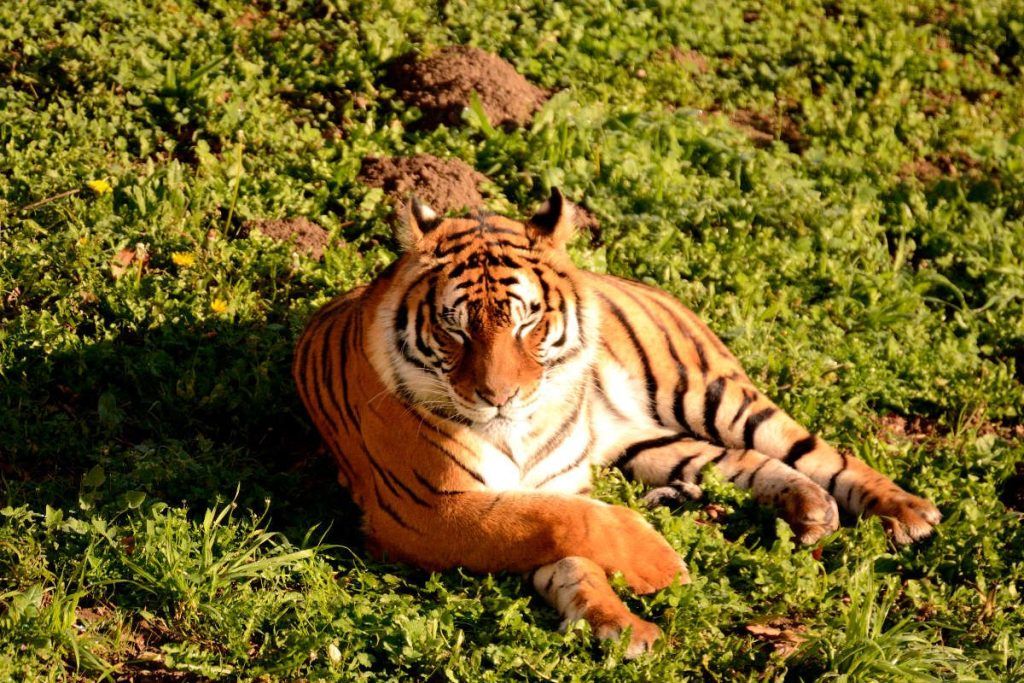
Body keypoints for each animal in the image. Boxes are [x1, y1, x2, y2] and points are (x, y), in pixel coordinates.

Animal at [292, 188, 940, 657]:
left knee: (815, 449)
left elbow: (567, 524)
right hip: (646, 442)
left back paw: (909, 513)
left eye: (526, 323)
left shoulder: (463, 505)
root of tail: (640, 282)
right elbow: (567, 532)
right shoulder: (431, 508)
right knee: (744, 461)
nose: (499, 396)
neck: (520, 429)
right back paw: (810, 511)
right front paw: (633, 609)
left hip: (708, 393)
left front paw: (645, 589)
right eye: (455, 328)